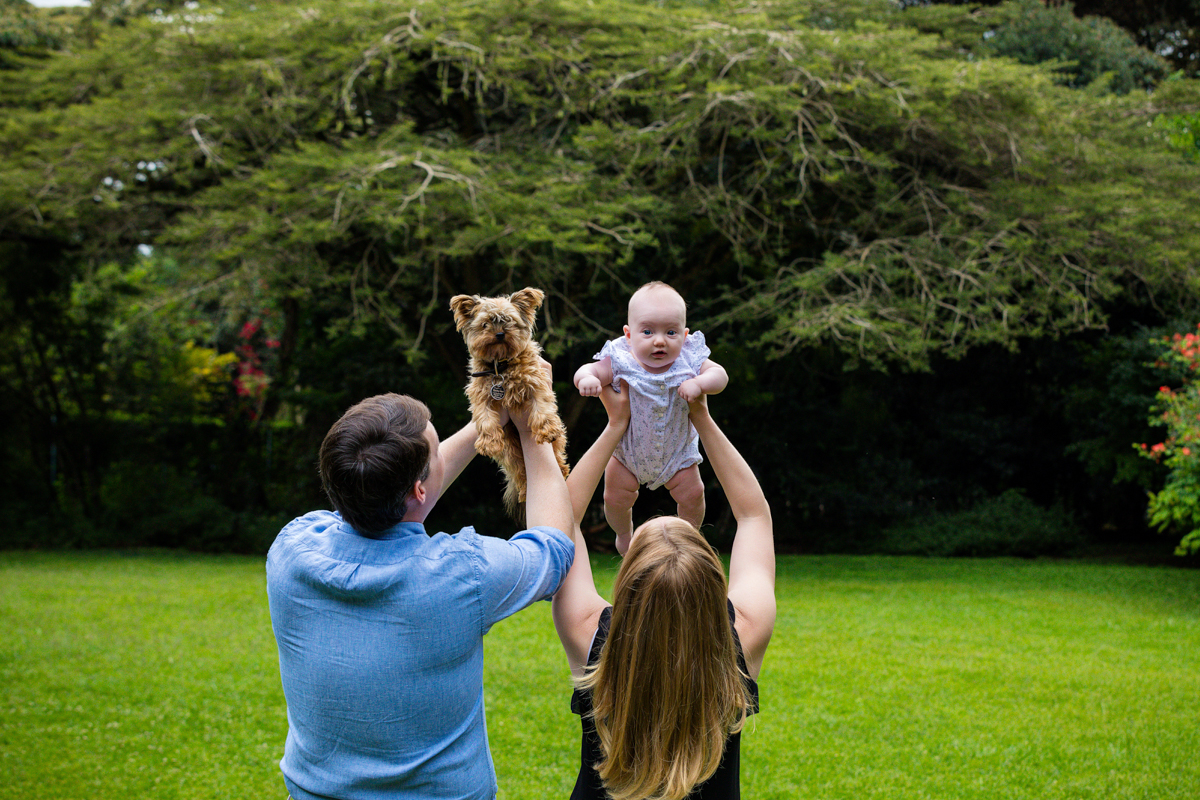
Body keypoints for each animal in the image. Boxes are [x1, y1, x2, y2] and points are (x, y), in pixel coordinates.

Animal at [451, 284, 571, 515]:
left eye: (510, 322)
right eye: (485, 324)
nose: (499, 333)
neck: (500, 364)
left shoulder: (537, 382)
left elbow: (542, 407)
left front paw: (547, 429)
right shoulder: (480, 394)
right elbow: (485, 418)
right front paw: (489, 443)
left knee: (556, 454)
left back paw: (560, 468)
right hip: (511, 452)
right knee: (520, 471)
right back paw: (524, 491)